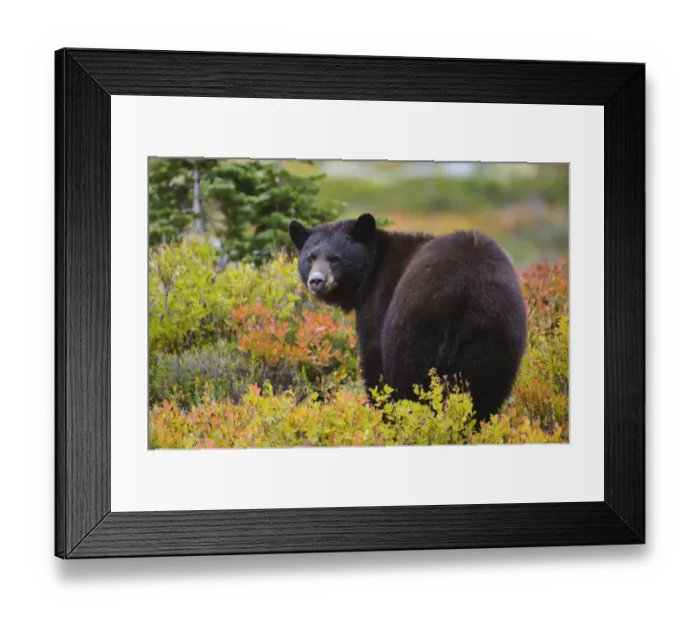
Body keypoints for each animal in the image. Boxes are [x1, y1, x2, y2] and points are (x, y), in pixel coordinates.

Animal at [287, 213, 528, 423]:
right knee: (484, 391)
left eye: (334, 258)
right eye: (310, 258)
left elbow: (373, 362)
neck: (373, 270)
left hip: (415, 330)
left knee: (410, 384)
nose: (316, 280)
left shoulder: (377, 305)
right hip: (493, 337)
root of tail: (464, 297)